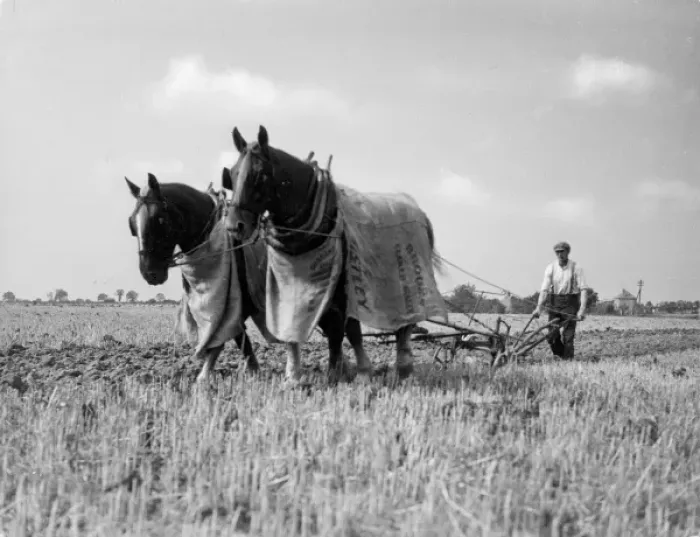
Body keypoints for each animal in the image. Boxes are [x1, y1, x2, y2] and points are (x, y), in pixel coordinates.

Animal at [124, 171, 266, 384]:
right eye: (132, 224)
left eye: (160, 220)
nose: (150, 272)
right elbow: (235, 337)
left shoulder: (235, 301)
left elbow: (227, 336)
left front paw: (204, 376)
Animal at [223, 125, 447, 386]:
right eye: (233, 174)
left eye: (260, 175)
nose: (234, 226)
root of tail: (419, 211)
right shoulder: (293, 286)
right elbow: (307, 329)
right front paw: (299, 376)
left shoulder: (345, 289)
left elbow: (349, 330)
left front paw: (358, 372)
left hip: (408, 284)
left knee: (406, 325)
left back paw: (404, 367)